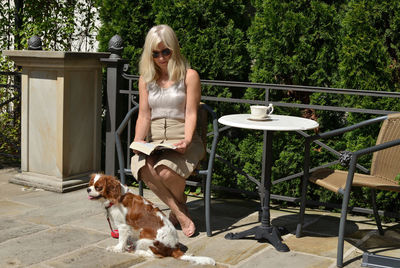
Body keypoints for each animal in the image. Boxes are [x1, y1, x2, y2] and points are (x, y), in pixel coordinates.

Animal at [86, 174, 214, 266]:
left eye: (98, 187)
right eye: (91, 184)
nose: (87, 189)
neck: (117, 196)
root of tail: (173, 248)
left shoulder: (123, 226)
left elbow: (121, 240)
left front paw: (117, 249)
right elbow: (126, 239)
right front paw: (126, 245)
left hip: (144, 239)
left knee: (155, 255)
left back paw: (137, 251)